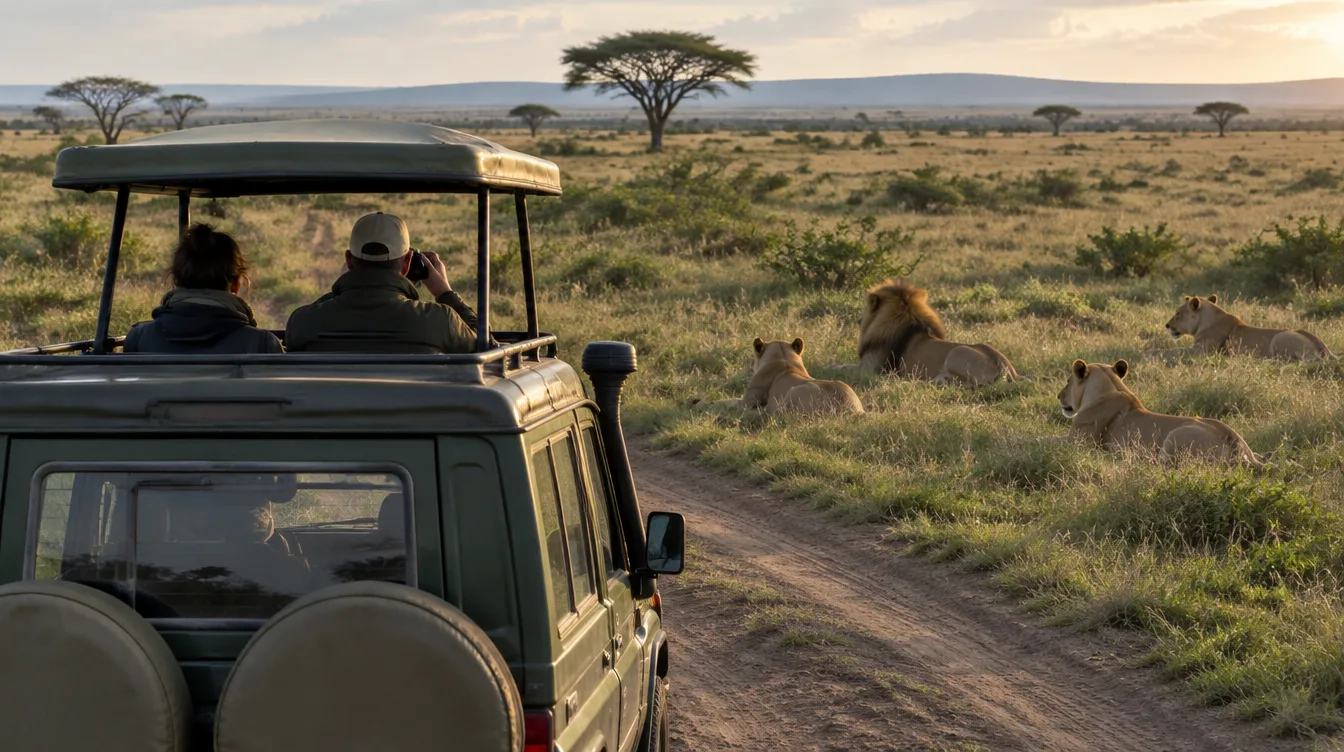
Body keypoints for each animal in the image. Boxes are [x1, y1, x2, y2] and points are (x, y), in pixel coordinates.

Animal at [1058, 358, 1263, 467]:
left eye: (1068, 381)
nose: (1059, 396)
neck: (1110, 388)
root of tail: (1235, 442)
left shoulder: (1076, 442)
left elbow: (1051, 441)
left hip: (1175, 436)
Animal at [1165, 294, 1332, 362]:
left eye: (1178, 313)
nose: (1166, 325)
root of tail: (1322, 346)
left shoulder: (1201, 351)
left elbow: (1174, 351)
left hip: (1280, 337)